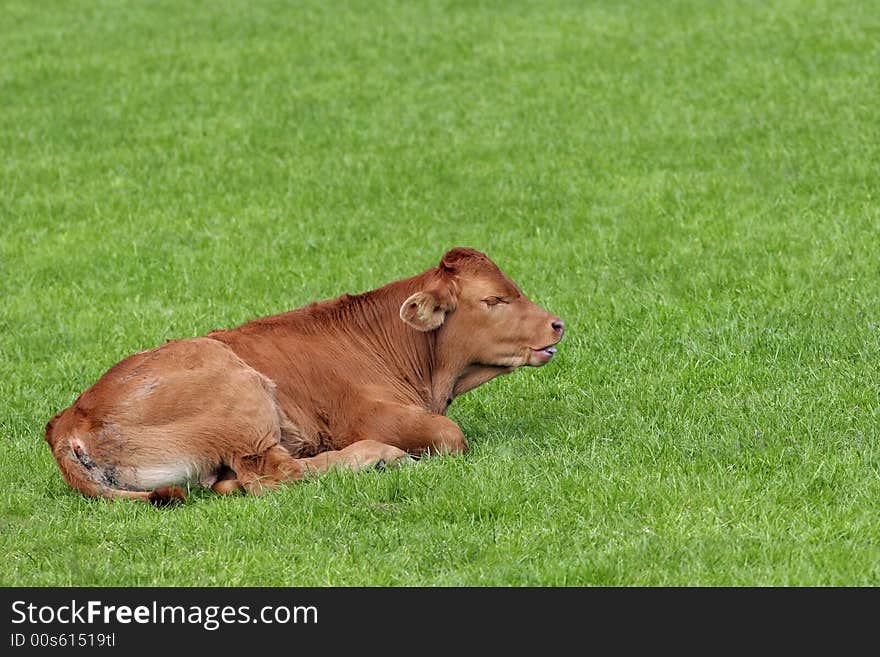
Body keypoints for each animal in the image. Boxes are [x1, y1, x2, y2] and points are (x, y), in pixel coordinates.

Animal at [44, 247, 564, 502]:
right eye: (494, 300)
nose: (557, 323)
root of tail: (69, 418)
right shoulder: (370, 414)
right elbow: (450, 435)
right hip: (241, 394)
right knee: (273, 474)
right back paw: (378, 457)